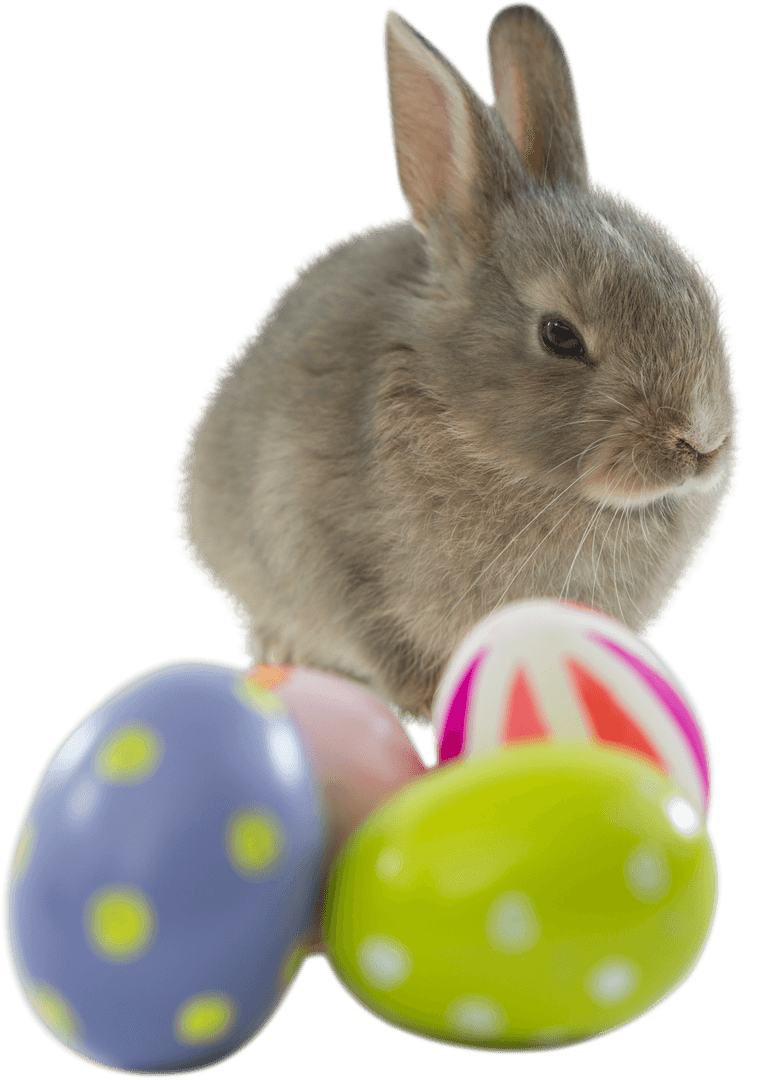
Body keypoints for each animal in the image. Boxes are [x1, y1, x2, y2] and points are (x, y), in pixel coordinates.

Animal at [172, 2, 741, 730]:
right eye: (558, 336)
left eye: (697, 292)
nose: (702, 444)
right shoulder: (327, 548)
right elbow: (379, 637)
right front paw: (427, 704)